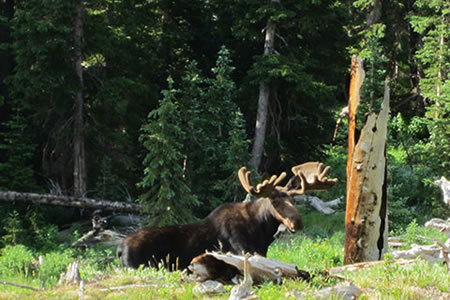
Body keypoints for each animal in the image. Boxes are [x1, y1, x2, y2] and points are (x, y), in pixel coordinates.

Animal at [118, 162, 336, 270]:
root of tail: (120, 248)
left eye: (295, 201)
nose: (297, 222)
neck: (262, 232)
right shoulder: (243, 251)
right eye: (274, 202)